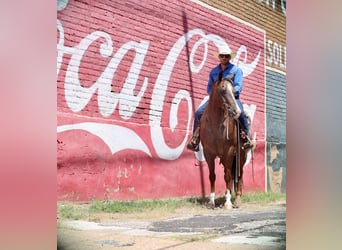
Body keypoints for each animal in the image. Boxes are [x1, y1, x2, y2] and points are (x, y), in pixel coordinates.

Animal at [199, 73, 247, 209]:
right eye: (222, 90)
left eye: (234, 91)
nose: (237, 112)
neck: (215, 124)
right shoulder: (208, 153)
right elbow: (212, 176)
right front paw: (211, 201)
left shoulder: (229, 151)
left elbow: (227, 176)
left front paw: (228, 202)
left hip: (241, 156)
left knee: (239, 175)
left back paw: (237, 199)